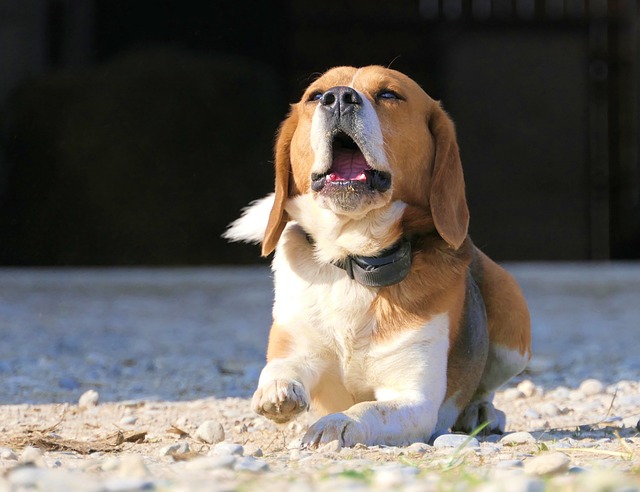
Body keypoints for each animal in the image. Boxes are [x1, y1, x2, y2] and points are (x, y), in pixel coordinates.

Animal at [225, 65, 528, 446]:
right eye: (315, 95)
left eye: (389, 94)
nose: (339, 97)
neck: (354, 259)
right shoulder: (297, 345)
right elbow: (280, 367)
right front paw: (278, 390)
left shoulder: (414, 400)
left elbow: (367, 409)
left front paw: (336, 424)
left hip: (513, 322)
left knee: (486, 387)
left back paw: (481, 412)